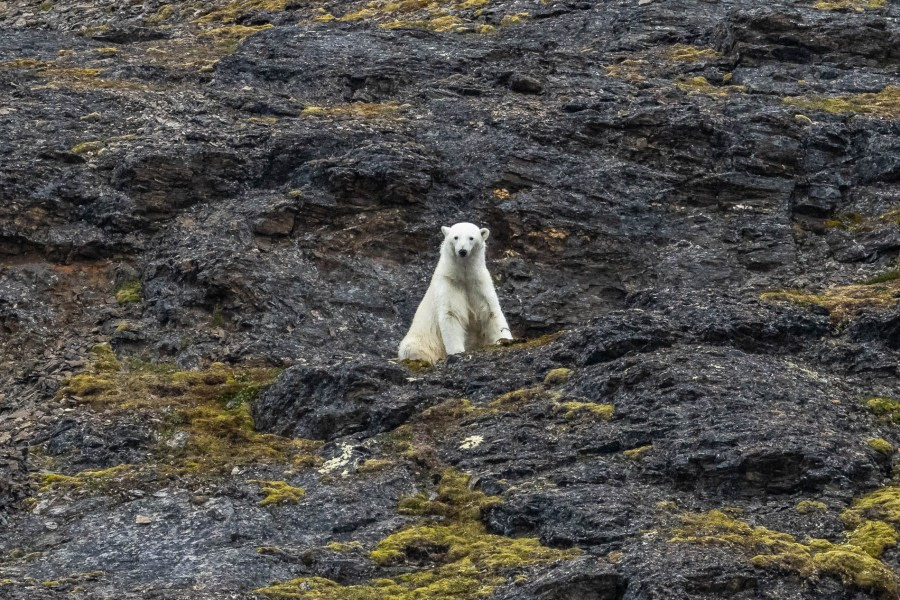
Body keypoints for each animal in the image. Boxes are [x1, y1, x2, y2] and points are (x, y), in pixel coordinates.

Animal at [400, 220, 512, 360]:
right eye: (455, 237)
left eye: (471, 238)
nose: (462, 251)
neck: (463, 276)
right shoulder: (448, 283)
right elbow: (451, 313)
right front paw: (457, 351)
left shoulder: (479, 284)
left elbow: (491, 312)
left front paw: (505, 340)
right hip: (423, 339)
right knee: (412, 348)